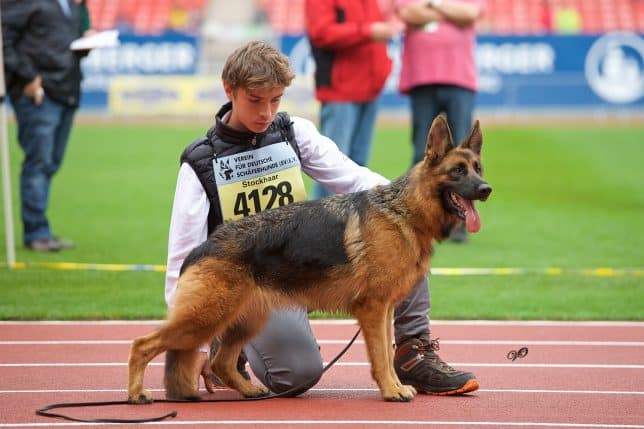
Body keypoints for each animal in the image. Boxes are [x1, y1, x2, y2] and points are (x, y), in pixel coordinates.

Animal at [126, 113, 490, 402]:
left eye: (478, 168)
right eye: (457, 171)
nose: (487, 189)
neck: (404, 210)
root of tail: (202, 246)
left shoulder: (384, 309)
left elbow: (386, 354)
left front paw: (395, 386)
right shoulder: (373, 310)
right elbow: (380, 357)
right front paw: (390, 390)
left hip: (243, 321)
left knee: (220, 362)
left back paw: (248, 390)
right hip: (203, 319)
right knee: (142, 344)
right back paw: (136, 394)